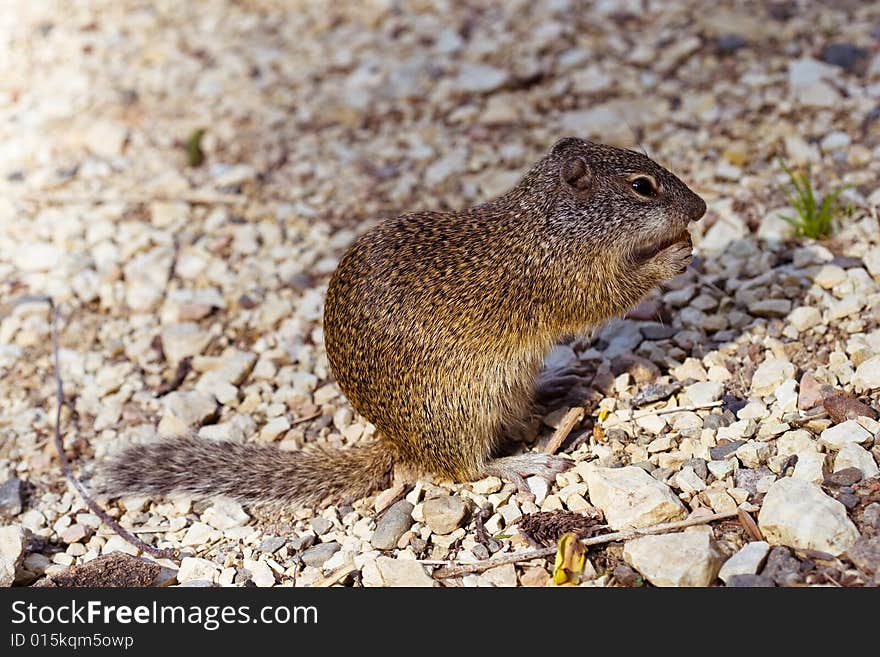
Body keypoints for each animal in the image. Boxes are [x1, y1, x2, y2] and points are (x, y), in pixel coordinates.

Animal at [101, 137, 708, 508]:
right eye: (642, 186)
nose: (700, 208)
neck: (551, 221)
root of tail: (396, 442)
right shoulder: (569, 281)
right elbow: (611, 294)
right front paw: (673, 255)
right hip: (459, 410)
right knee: (463, 469)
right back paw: (523, 465)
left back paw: (556, 383)